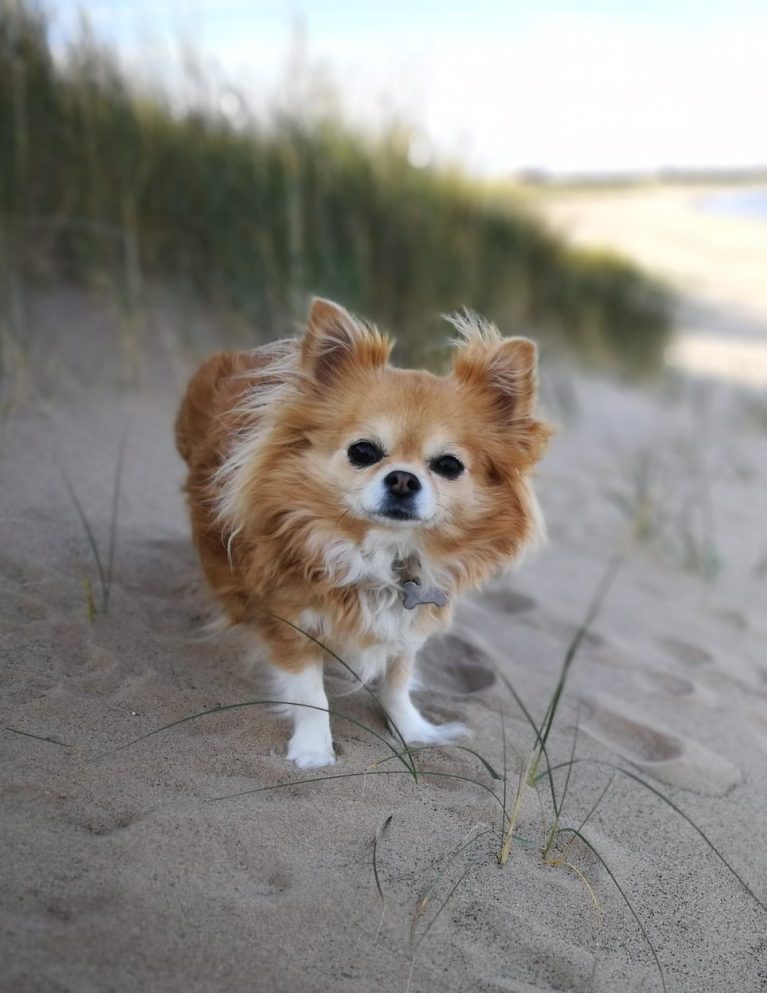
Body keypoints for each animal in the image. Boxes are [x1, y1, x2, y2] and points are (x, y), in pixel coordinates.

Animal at [177, 300, 548, 768]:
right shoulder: (289, 620)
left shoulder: (411, 620)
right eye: (363, 452)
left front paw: (413, 732)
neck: (383, 555)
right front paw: (314, 750)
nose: (403, 479)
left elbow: (397, 681)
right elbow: (310, 693)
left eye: (448, 465)